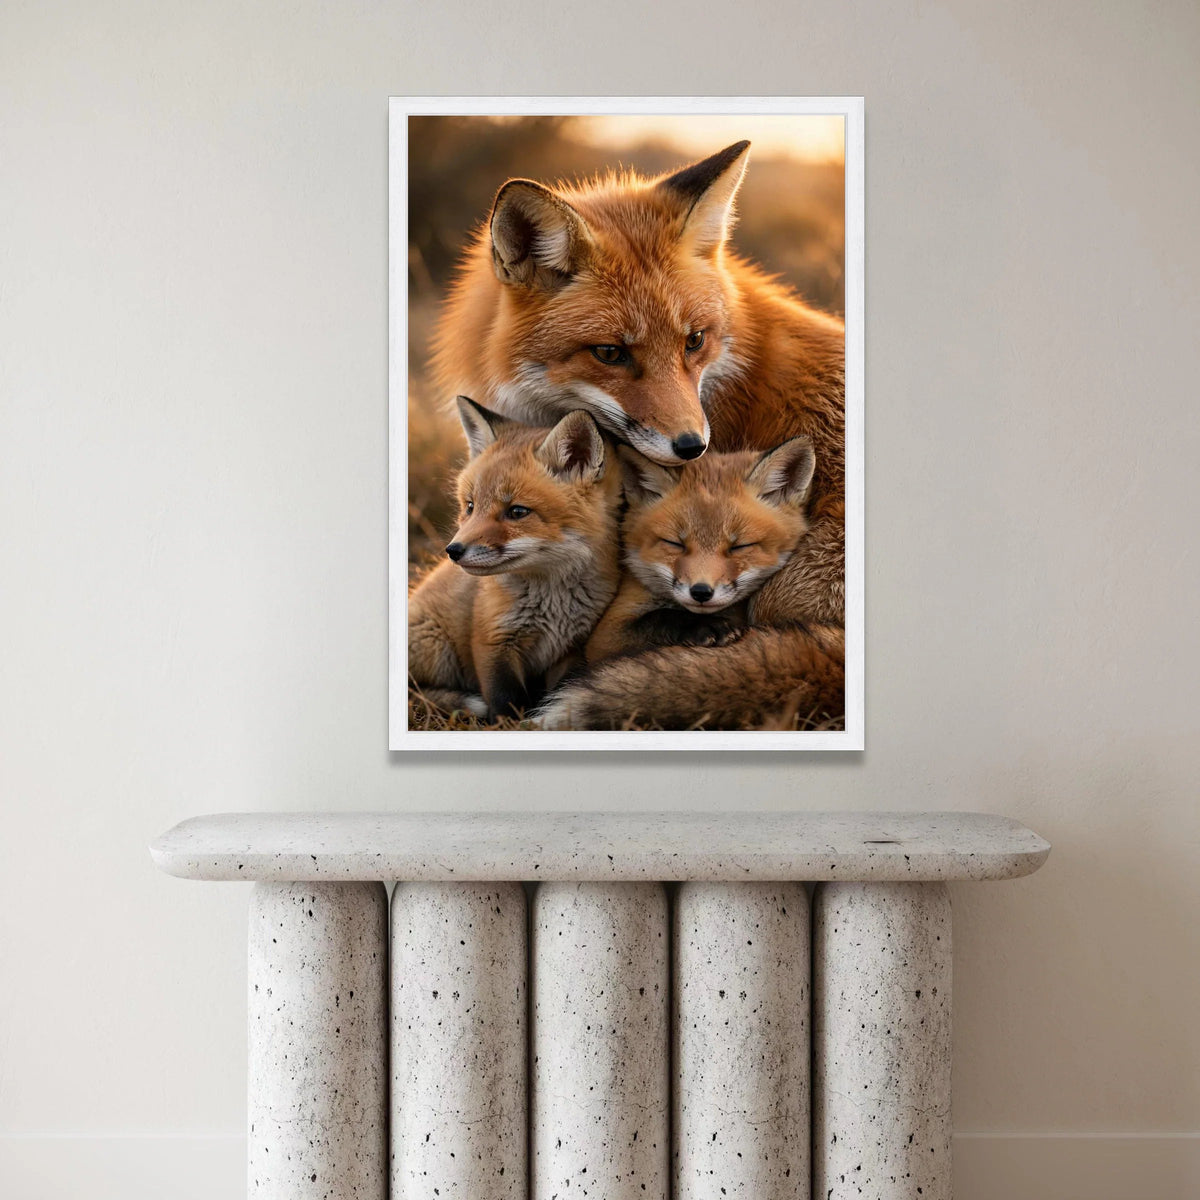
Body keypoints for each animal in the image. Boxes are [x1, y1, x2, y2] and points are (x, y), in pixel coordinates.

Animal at [408, 397, 621, 721]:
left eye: (517, 512)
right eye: (470, 506)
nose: (453, 550)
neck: (553, 602)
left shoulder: (570, 649)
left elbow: (557, 689)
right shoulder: (492, 640)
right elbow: (504, 699)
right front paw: (509, 725)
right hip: (436, 650)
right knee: (414, 691)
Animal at [582, 438, 817, 665]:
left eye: (739, 546)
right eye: (675, 543)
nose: (701, 592)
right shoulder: (603, 638)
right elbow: (659, 617)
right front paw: (700, 625)